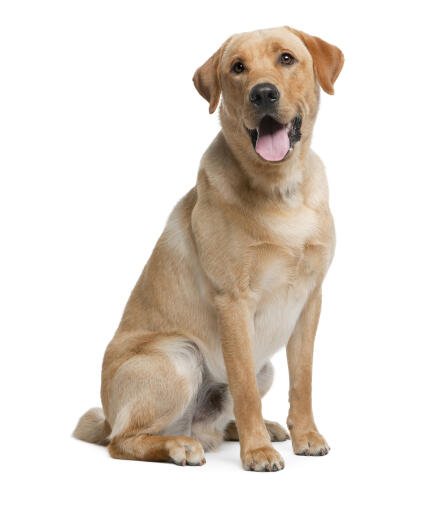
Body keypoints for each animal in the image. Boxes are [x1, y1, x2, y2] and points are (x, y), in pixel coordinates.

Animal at [73, 26, 344, 470]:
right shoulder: (233, 302)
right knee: (123, 440)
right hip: (177, 357)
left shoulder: (310, 301)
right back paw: (180, 446)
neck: (281, 191)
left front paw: (306, 435)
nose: (263, 93)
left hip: (263, 368)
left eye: (287, 58)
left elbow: (302, 381)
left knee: (212, 423)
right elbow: (245, 389)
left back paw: (253, 429)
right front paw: (257, 453)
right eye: (238, 68)